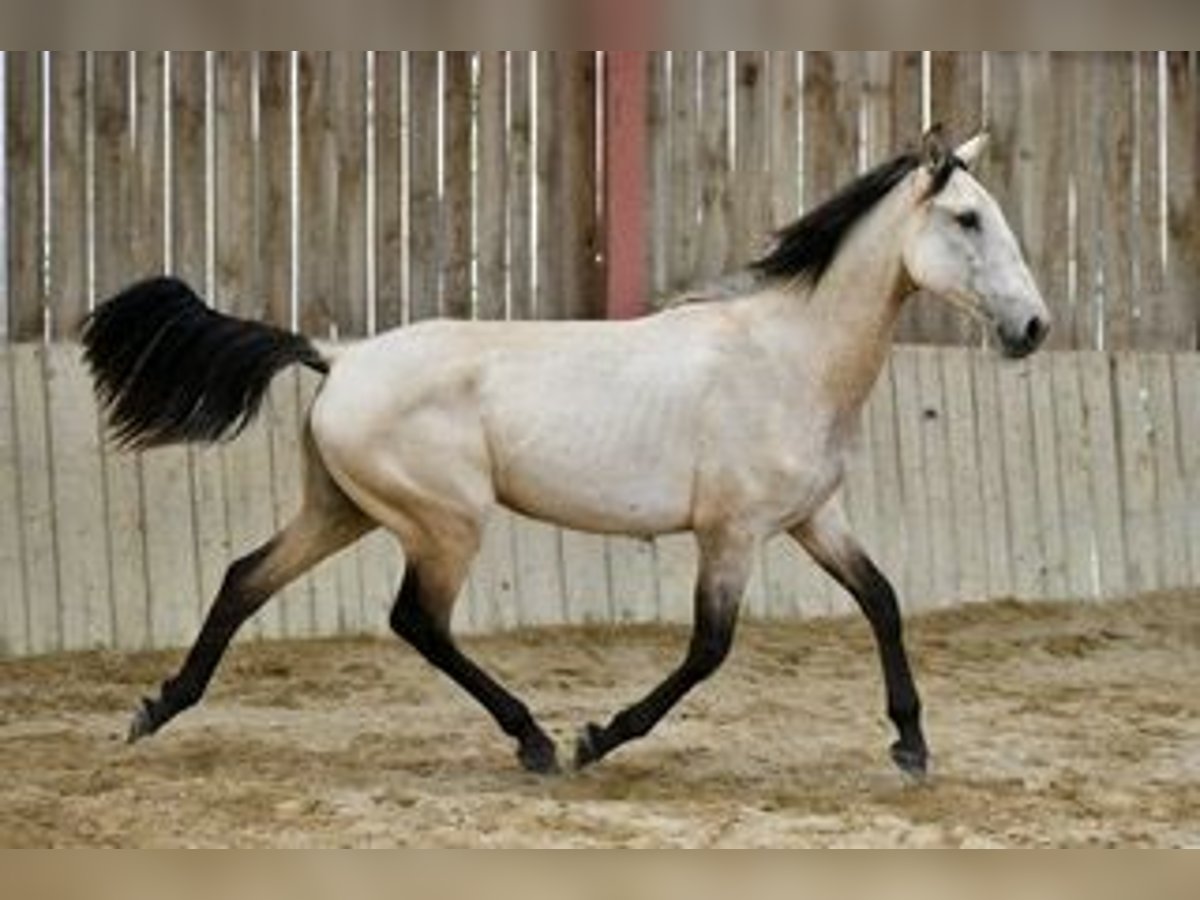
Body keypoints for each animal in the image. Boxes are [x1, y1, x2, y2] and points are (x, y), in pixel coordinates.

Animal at [79, 128, 1046, 782]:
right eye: (967, 219)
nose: (1033, 329)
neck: (786, 356)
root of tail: (338, 359)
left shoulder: (812, 517)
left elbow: (882, 600)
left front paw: (911, 744)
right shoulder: (732, 533)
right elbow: (709, 648)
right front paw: (598, 738)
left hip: (343, 509)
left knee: (246, 577)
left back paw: (155, 709)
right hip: (445, 522)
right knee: (415, 620)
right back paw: (537, 741)